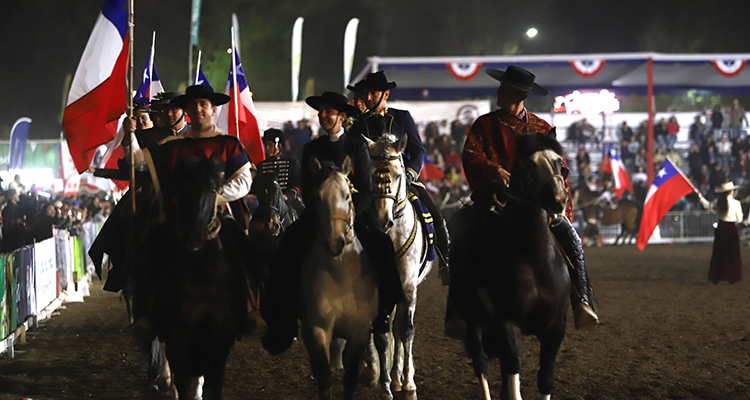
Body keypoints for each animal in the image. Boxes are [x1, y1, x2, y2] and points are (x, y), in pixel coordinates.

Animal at [138, 152, 258, 398]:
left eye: (213, 190)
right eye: (180, 189)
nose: (194, 235)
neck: (201, 274)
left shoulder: (221, 336)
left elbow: (214, 381)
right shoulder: (176, 334)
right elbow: (183, 380)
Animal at [452, 132, 568, 400]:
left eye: (559, 162)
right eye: (531, 164)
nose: (558, 200)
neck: (535, 259)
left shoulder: (555, 327)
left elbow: (545, 378)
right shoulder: (506, 322)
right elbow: (513, 365)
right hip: (472, 319)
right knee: (481, 362)